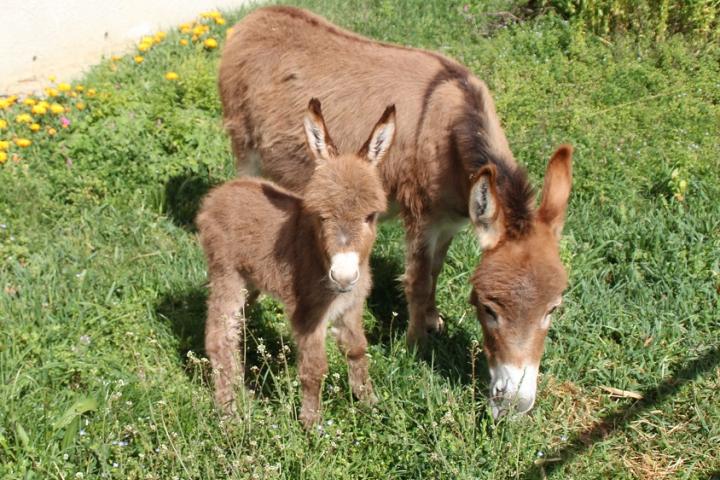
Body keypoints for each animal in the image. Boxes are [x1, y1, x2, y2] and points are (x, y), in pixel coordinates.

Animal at [197, 98, 394, 428]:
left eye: (371, 215)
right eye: (320, 214)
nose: (343, 276)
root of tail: (217, 193)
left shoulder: (352, 306)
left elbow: (357, 351)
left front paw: (371, 404)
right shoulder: (307, 314)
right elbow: (314, 369)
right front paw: (311, 425)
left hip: (250, 282)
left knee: (236, 329)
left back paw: (241, 391)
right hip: (227, 274)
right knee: (219, 336)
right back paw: (229, 412)